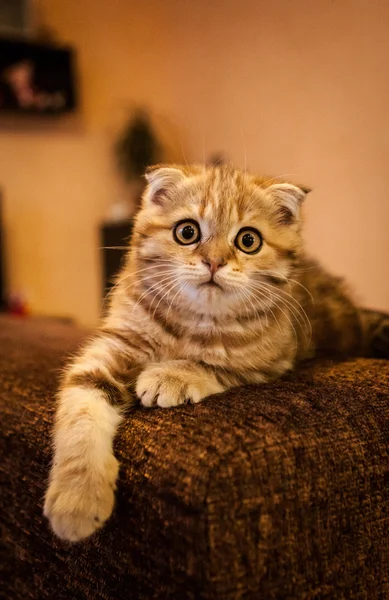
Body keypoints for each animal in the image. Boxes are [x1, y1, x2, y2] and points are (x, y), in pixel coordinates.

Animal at [43, 163, 388, 540]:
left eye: (248, 240)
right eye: (187, 232)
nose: (214, 262)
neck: (190, 321)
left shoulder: (271, 359)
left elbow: (213, 363)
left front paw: (170, 375)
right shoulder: (112, 347)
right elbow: (82, 407)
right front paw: (77, 497)